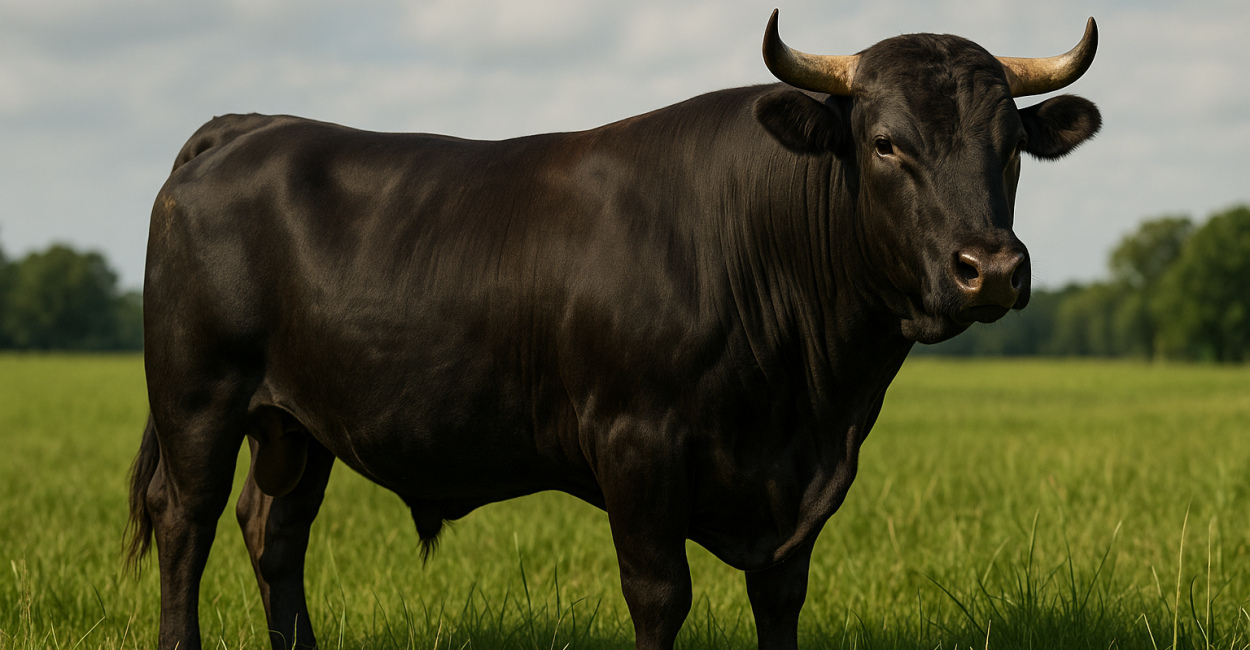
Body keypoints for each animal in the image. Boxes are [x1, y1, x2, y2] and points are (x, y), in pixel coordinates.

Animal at [126, 11, 1101, 650]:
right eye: (886, 143)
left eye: (1010, 147)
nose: (991, 267)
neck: (814, 398)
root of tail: (250, 127)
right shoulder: (637, 446)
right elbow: (660, 596)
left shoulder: (797, 493)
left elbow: (781, 595)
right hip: (198, 398)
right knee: (187, 521)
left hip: (298, 423)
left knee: (273, 530)